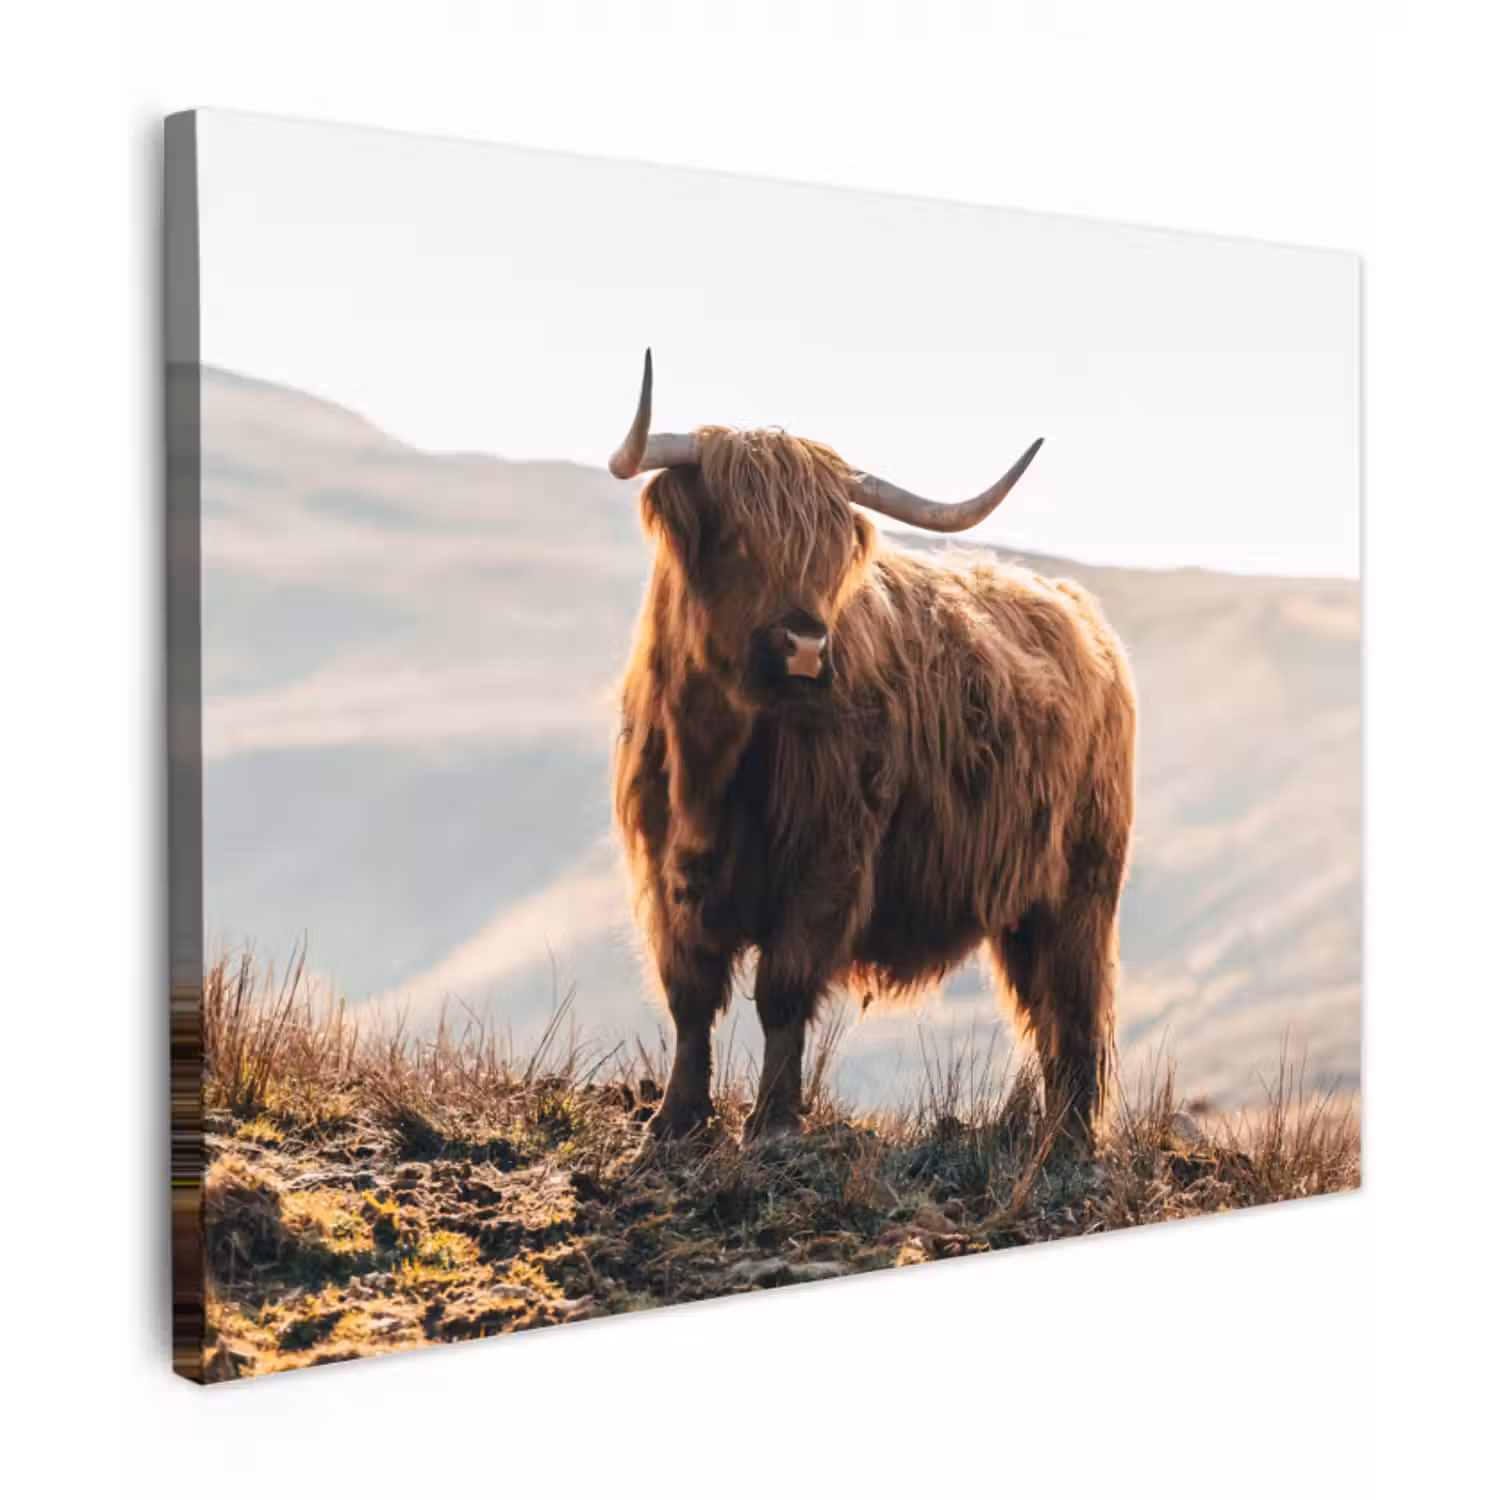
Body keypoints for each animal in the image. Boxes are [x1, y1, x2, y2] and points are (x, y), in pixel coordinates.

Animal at [608, 351, 1136, 1150]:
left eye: (829, 556)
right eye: (737, 540)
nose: (804, 645)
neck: (715, 757)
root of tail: (1080, 612)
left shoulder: (828, 859)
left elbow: (782, 992)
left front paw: (772, 1123)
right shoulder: (667, 872)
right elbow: (690, 996)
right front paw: (675, 1121)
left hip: (1081, 887)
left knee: (1072, 1010)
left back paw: (1067, 1143)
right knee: (1047, 1012)